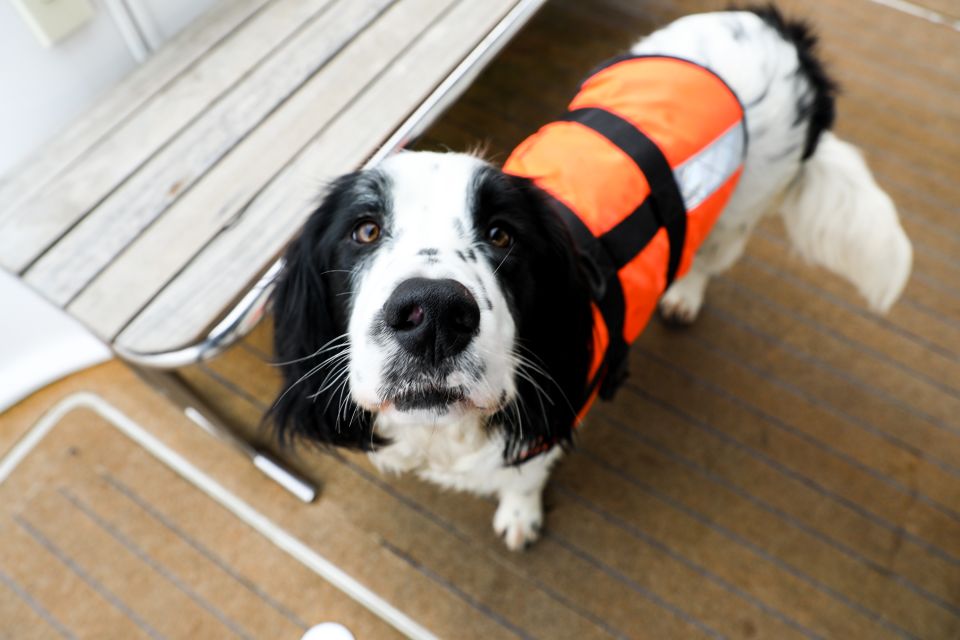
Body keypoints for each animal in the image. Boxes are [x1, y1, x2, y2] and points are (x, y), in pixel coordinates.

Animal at [268, 7, 908, 552]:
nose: (433, 314)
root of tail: (778, 28)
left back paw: (683, 295)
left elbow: (523, 477)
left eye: (502, 234)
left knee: (708, 257)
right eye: (365, 230)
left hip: (740, 209)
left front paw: (519, 516)